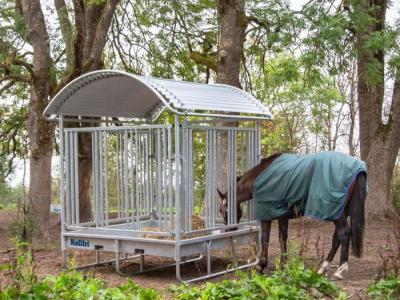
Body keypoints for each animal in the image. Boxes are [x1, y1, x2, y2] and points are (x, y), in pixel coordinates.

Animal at [217, 151, 368, 280]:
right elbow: (282, 239)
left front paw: (261, 266)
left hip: (335, 211)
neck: (258, 177)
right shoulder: (282, 216)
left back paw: (339, 270)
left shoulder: (267, 214)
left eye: (221, 210)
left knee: (344, 233)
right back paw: (323, 268)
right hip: (340, 210)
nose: (229, 230)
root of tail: (358, 169)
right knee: (337, 237)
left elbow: (265, 239)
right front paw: (283, 266)